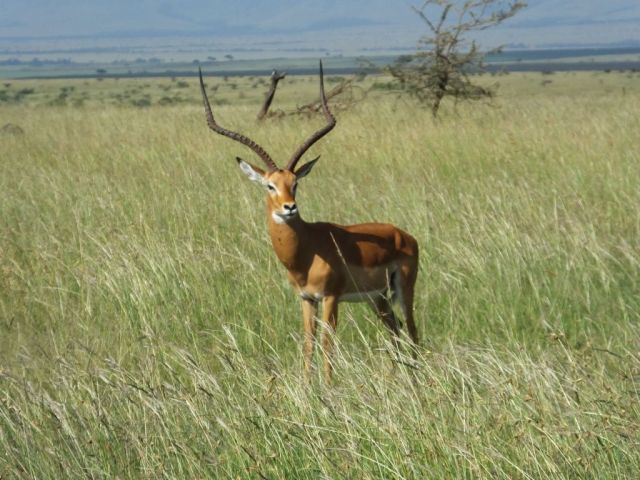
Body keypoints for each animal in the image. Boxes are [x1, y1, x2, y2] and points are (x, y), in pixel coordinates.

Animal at [199, 62, 419, 382]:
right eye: (270, 186)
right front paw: (306, 386)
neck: (306, 251)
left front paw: (327, 386)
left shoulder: (330, 297)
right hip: (378, 298)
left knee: (412, 329)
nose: (289, 207)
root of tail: (404, 235)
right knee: (396, 330)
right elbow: (308, 342)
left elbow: (327, 343)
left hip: (403, 289)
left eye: (295, 183)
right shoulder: (306, 299)